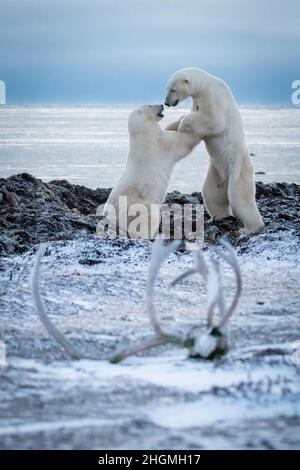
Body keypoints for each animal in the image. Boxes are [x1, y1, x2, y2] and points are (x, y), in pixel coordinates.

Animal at [102, 104, 200, 237]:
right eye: (150, 105)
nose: (162, 105)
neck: (143, 133)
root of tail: (113, 216)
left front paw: (181, 118)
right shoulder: (161, 143)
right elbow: (183, 141)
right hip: (139, 206)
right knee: (148, 220)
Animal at [164, 67, 264, 233]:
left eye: (173, 89)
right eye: (167, 88)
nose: (166, 103)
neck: (206, 84)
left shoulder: (213, 97)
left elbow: (213, 120)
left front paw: (182, 125)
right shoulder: (197, 100)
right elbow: (194, 118)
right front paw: (171, 126)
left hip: (238, 169)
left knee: (239, 198)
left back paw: (249, 228)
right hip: (217, 171)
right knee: (211, 194)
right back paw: (218, 218)